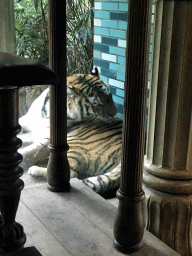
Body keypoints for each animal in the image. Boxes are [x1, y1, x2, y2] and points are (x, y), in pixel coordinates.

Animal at [18, 67, 122, 195]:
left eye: (109, 97)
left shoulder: (48, 140)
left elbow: (29, 151)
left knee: (71, 172)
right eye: (97, 106)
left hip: (75, 142)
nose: (114, 114)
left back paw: (35, 170)